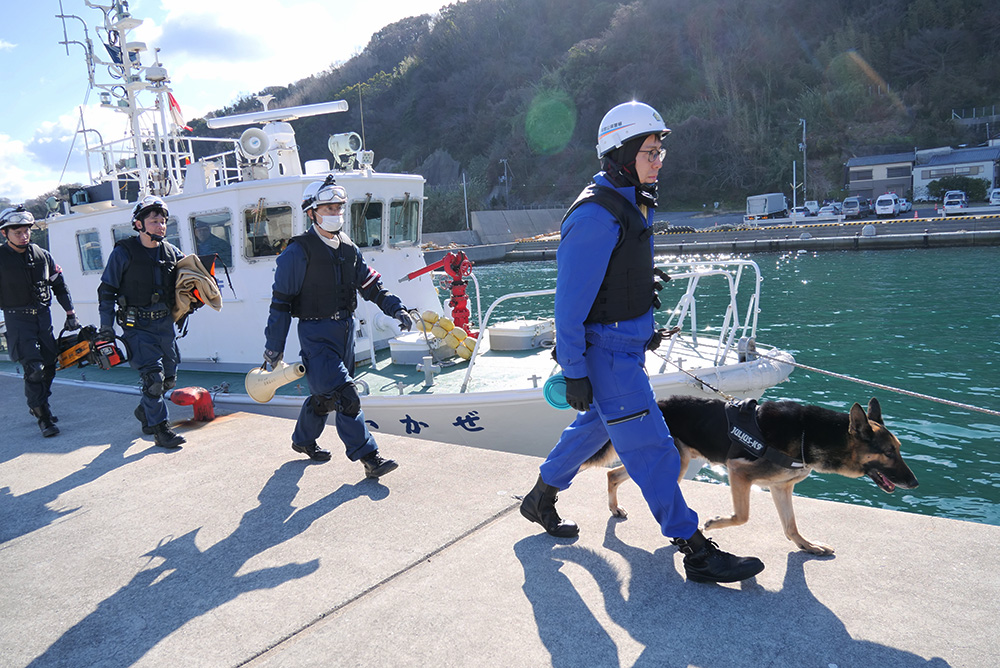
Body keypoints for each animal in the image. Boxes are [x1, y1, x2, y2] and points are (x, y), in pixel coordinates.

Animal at [584, 394, 920, 556]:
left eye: (899, 449)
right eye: (888, 453)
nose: (915, 483)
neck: (809, 434)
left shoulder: (781, 488)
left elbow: (791, 526)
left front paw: (807, 546)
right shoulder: (739, 473)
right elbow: (742, 516)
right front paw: (712, 523)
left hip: (673, 461)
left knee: (612, 474)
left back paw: (615, 508)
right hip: (674, 462)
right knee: (619, 475)